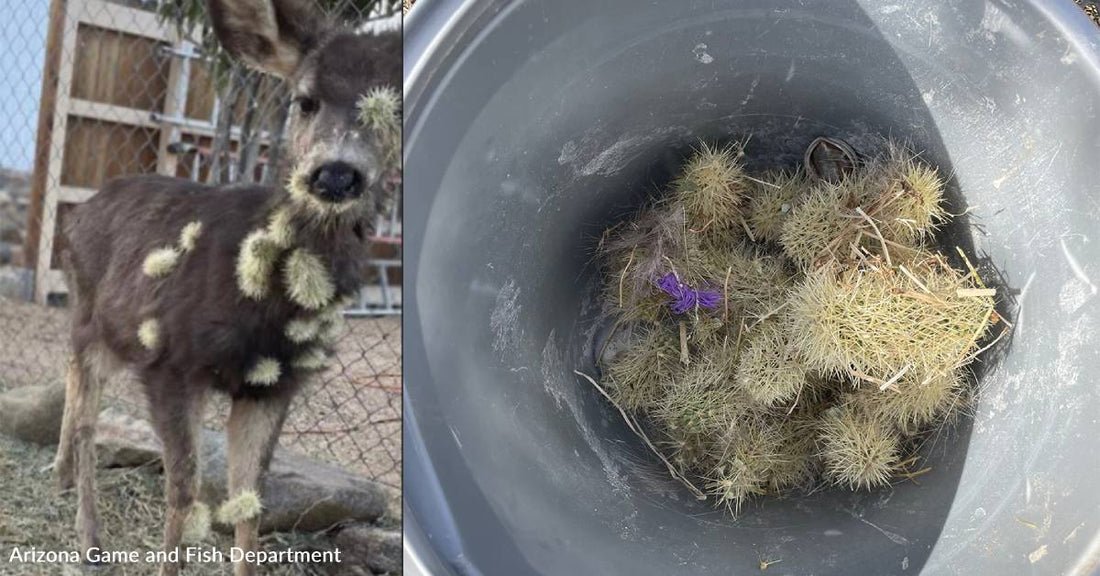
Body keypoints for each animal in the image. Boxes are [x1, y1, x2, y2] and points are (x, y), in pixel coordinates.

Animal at [51, 1, 400, 574]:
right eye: (306, 100)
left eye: (395, 110)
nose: (335, 175)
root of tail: (78, 211)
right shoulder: (171, 363)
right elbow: (184, 492)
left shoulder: (272, 386)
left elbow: (250, 503)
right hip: (88, 319)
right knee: (85, 422)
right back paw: (88, 540)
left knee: (74, 392)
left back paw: (60, 482)